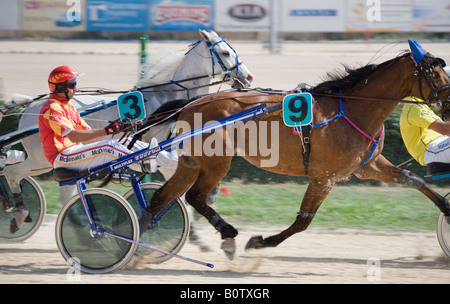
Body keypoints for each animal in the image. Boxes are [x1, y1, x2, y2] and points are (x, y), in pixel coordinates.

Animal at [0, 30, 253, 211]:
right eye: (225, 52)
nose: (248, 77)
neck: (171, 100)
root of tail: (31, 105)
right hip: (42, 159)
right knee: (12, 173)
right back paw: (18, 210)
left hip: (48, 164)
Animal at [139, 41, 448, 258]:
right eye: (435, 73)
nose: (448, 102)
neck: (352, 109)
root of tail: (191, 104)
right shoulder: (323, 177)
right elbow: (303, 221)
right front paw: (260, 241)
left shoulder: (367, 166)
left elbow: (413, 179)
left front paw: (446, 207)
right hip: (217, 162)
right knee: (194, 196)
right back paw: (226, 232)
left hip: (191, 162)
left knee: (162, 198)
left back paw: (140, 237)